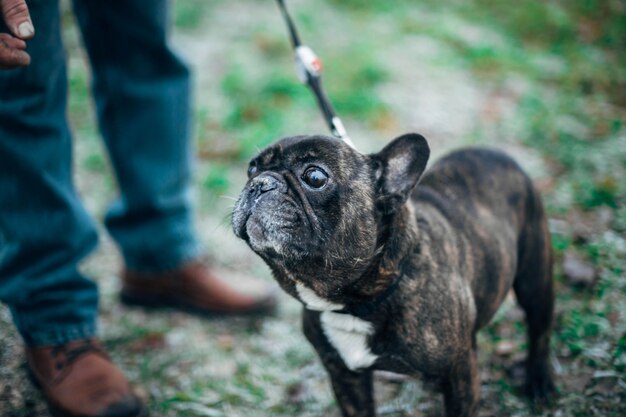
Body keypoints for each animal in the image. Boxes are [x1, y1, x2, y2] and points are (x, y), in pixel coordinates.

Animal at [232, 134, 552, 416]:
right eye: (251, 168)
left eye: (315, 177)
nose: (260, 183)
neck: (354, 304)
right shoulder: (346, 376)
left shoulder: (459, 374)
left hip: (535, 278)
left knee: (540, 328)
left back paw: (539, 381)